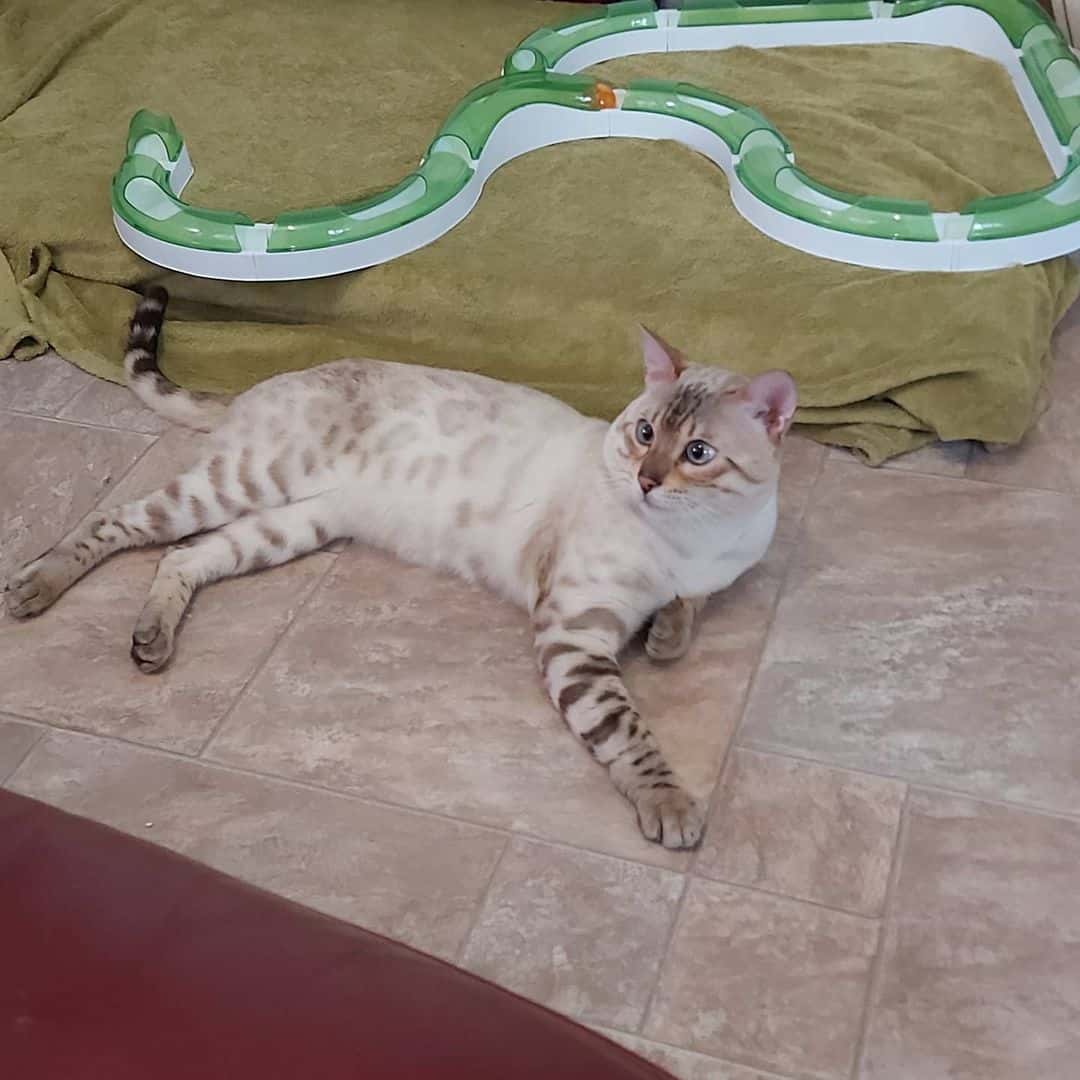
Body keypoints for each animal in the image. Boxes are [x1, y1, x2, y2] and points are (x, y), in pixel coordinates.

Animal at [4, 291, 799, 846]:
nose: (646, 481)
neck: (689, 540)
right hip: (240, 485)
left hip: (293, 525)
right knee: (117, 522)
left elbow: (688, 608)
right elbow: (628, 731)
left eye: (697, 453)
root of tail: (261, 383)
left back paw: (151, 641)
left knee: (183, 556)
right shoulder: (575, 632)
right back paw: (33, 589)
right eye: (642, 433)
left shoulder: (712, 575)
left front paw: (666, 635)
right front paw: (670, 804)